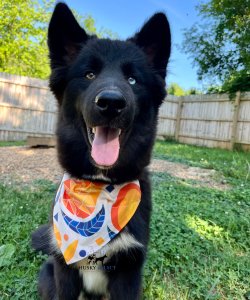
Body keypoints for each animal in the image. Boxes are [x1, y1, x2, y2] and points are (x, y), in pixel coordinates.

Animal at [31, 2, 170, 300]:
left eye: (132, 79)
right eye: (89, 74)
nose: (111, 103)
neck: (99, 187)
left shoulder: (129, 274)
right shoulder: (65, 273)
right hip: (48, 273)